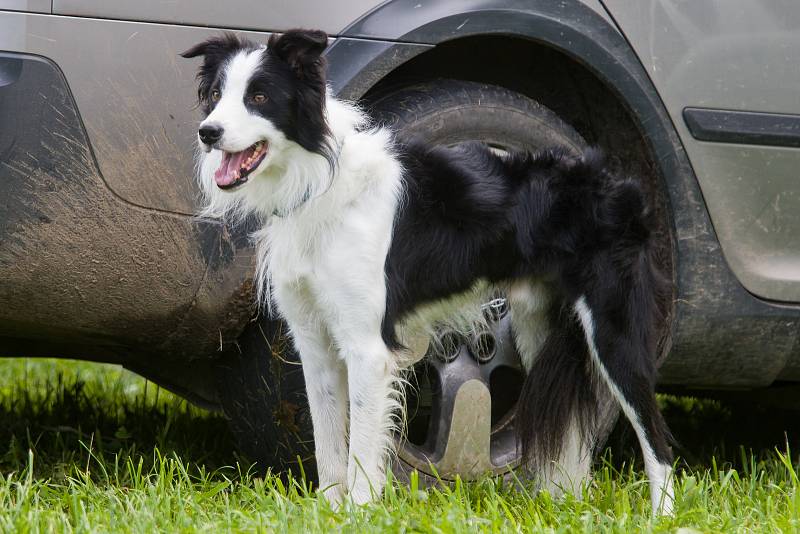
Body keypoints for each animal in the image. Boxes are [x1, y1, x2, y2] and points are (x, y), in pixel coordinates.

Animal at [181, 29, 676, 516]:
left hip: (613, 331)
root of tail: (614, 182)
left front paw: (359, 511)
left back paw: (663, 516)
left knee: (657, 435)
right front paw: (329, 510)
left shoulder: (367, 348)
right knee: (572, 431)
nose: (207, 133)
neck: (319, 180)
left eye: (260, 96)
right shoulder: (314, 345)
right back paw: (563, 504)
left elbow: (362, 446)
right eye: (216, 96)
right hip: (540, 331)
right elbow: (327, 443)